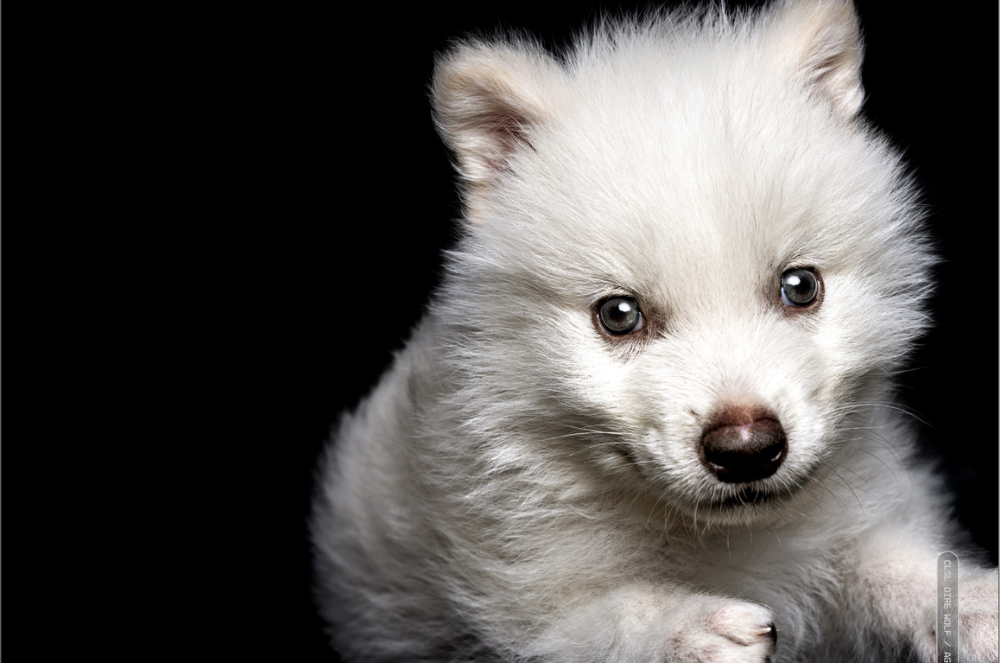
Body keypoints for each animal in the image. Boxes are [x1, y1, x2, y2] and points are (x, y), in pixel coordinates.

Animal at [311, 1, 999, 660]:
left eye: (800, 286)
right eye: (619, 315)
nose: (747, 449)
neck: (723, 539)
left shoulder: (850, 527)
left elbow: (901, 569)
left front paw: (978, 606)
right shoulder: (514, 596)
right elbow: (604, 615)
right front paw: (688, 628)